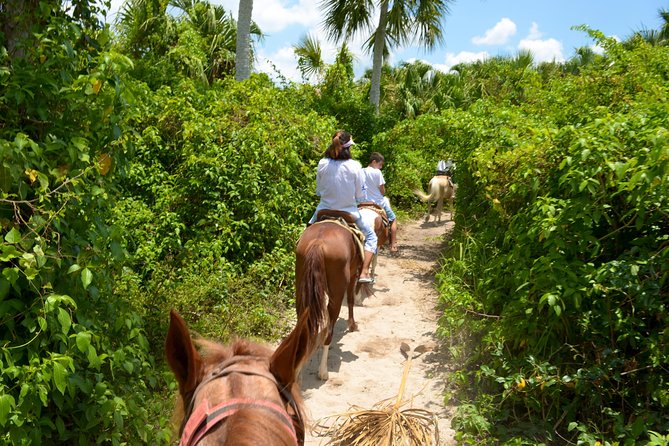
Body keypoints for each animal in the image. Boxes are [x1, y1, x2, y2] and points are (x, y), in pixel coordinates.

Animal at [294, 220, 362, 380]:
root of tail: (318, 242)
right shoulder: (353, 273)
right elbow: (351, 299)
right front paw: (352, 325)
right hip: (336, 293)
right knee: (329, 329)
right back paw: (323, 371)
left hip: (301, 288)